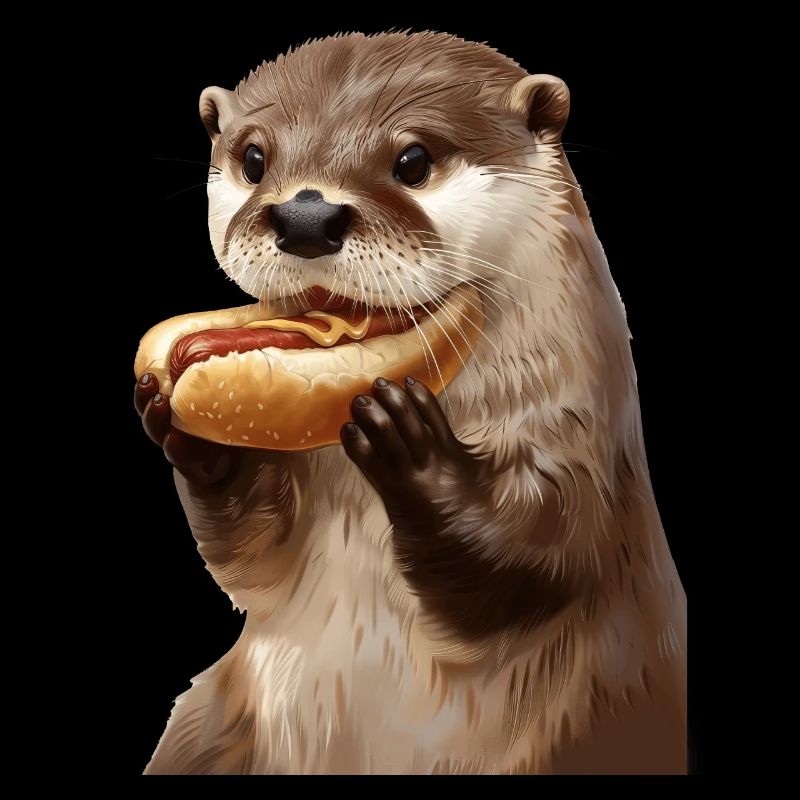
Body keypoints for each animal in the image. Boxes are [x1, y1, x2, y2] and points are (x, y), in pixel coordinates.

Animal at [135, 31, 687, 774]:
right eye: (253, 158)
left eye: (414, 161)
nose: (305, 215)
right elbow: (249, 565)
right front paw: (198, 437)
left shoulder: (583, 448)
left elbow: (543, 553)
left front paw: (411, 443)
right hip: (212, 722)